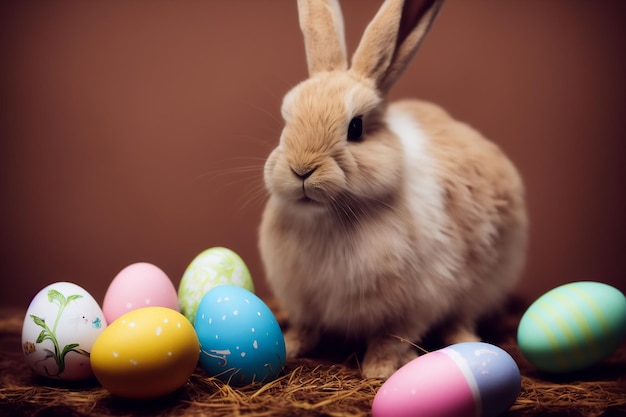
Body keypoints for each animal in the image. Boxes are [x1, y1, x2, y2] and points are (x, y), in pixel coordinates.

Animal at [256, 0, 524, 378]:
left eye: (355, 128)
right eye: (286, 121)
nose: (301, 169)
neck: (330, 215)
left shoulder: (413, 304)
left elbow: (390, 337)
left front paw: (379, 370)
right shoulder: (305, 301)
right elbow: (306, 327)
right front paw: (291, 346)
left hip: (484, 281)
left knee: (462, 316)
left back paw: (461, 340)